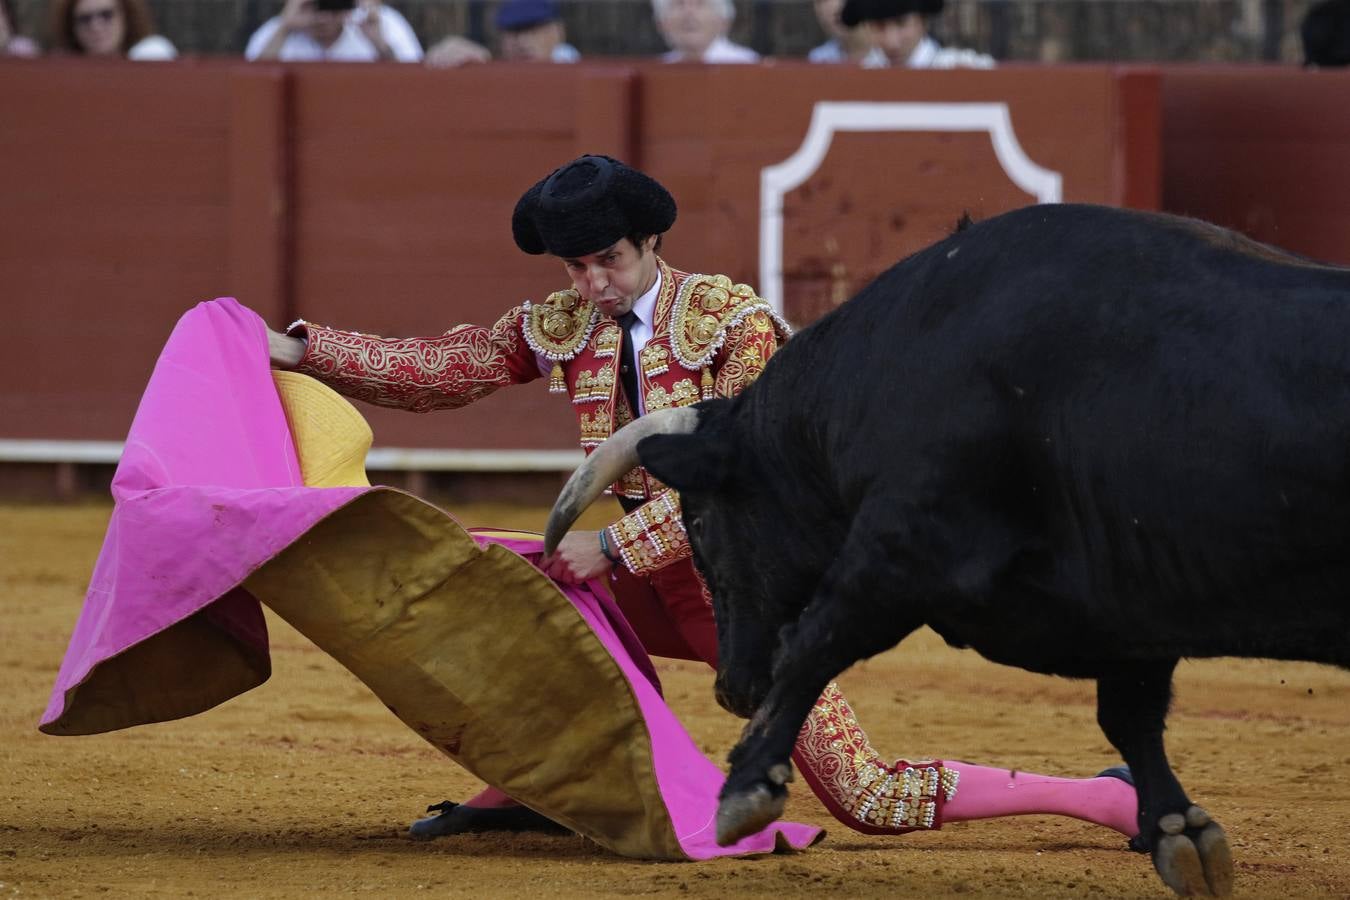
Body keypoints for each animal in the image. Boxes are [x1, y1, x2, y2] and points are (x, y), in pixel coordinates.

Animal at [545, 206, 1350, 900]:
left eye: (704, 524)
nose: (733, 691)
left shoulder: (908, 545)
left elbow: (816, 639)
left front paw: (744, 787)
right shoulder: (1128, 609)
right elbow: (1131, 715)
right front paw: (1179, 832)